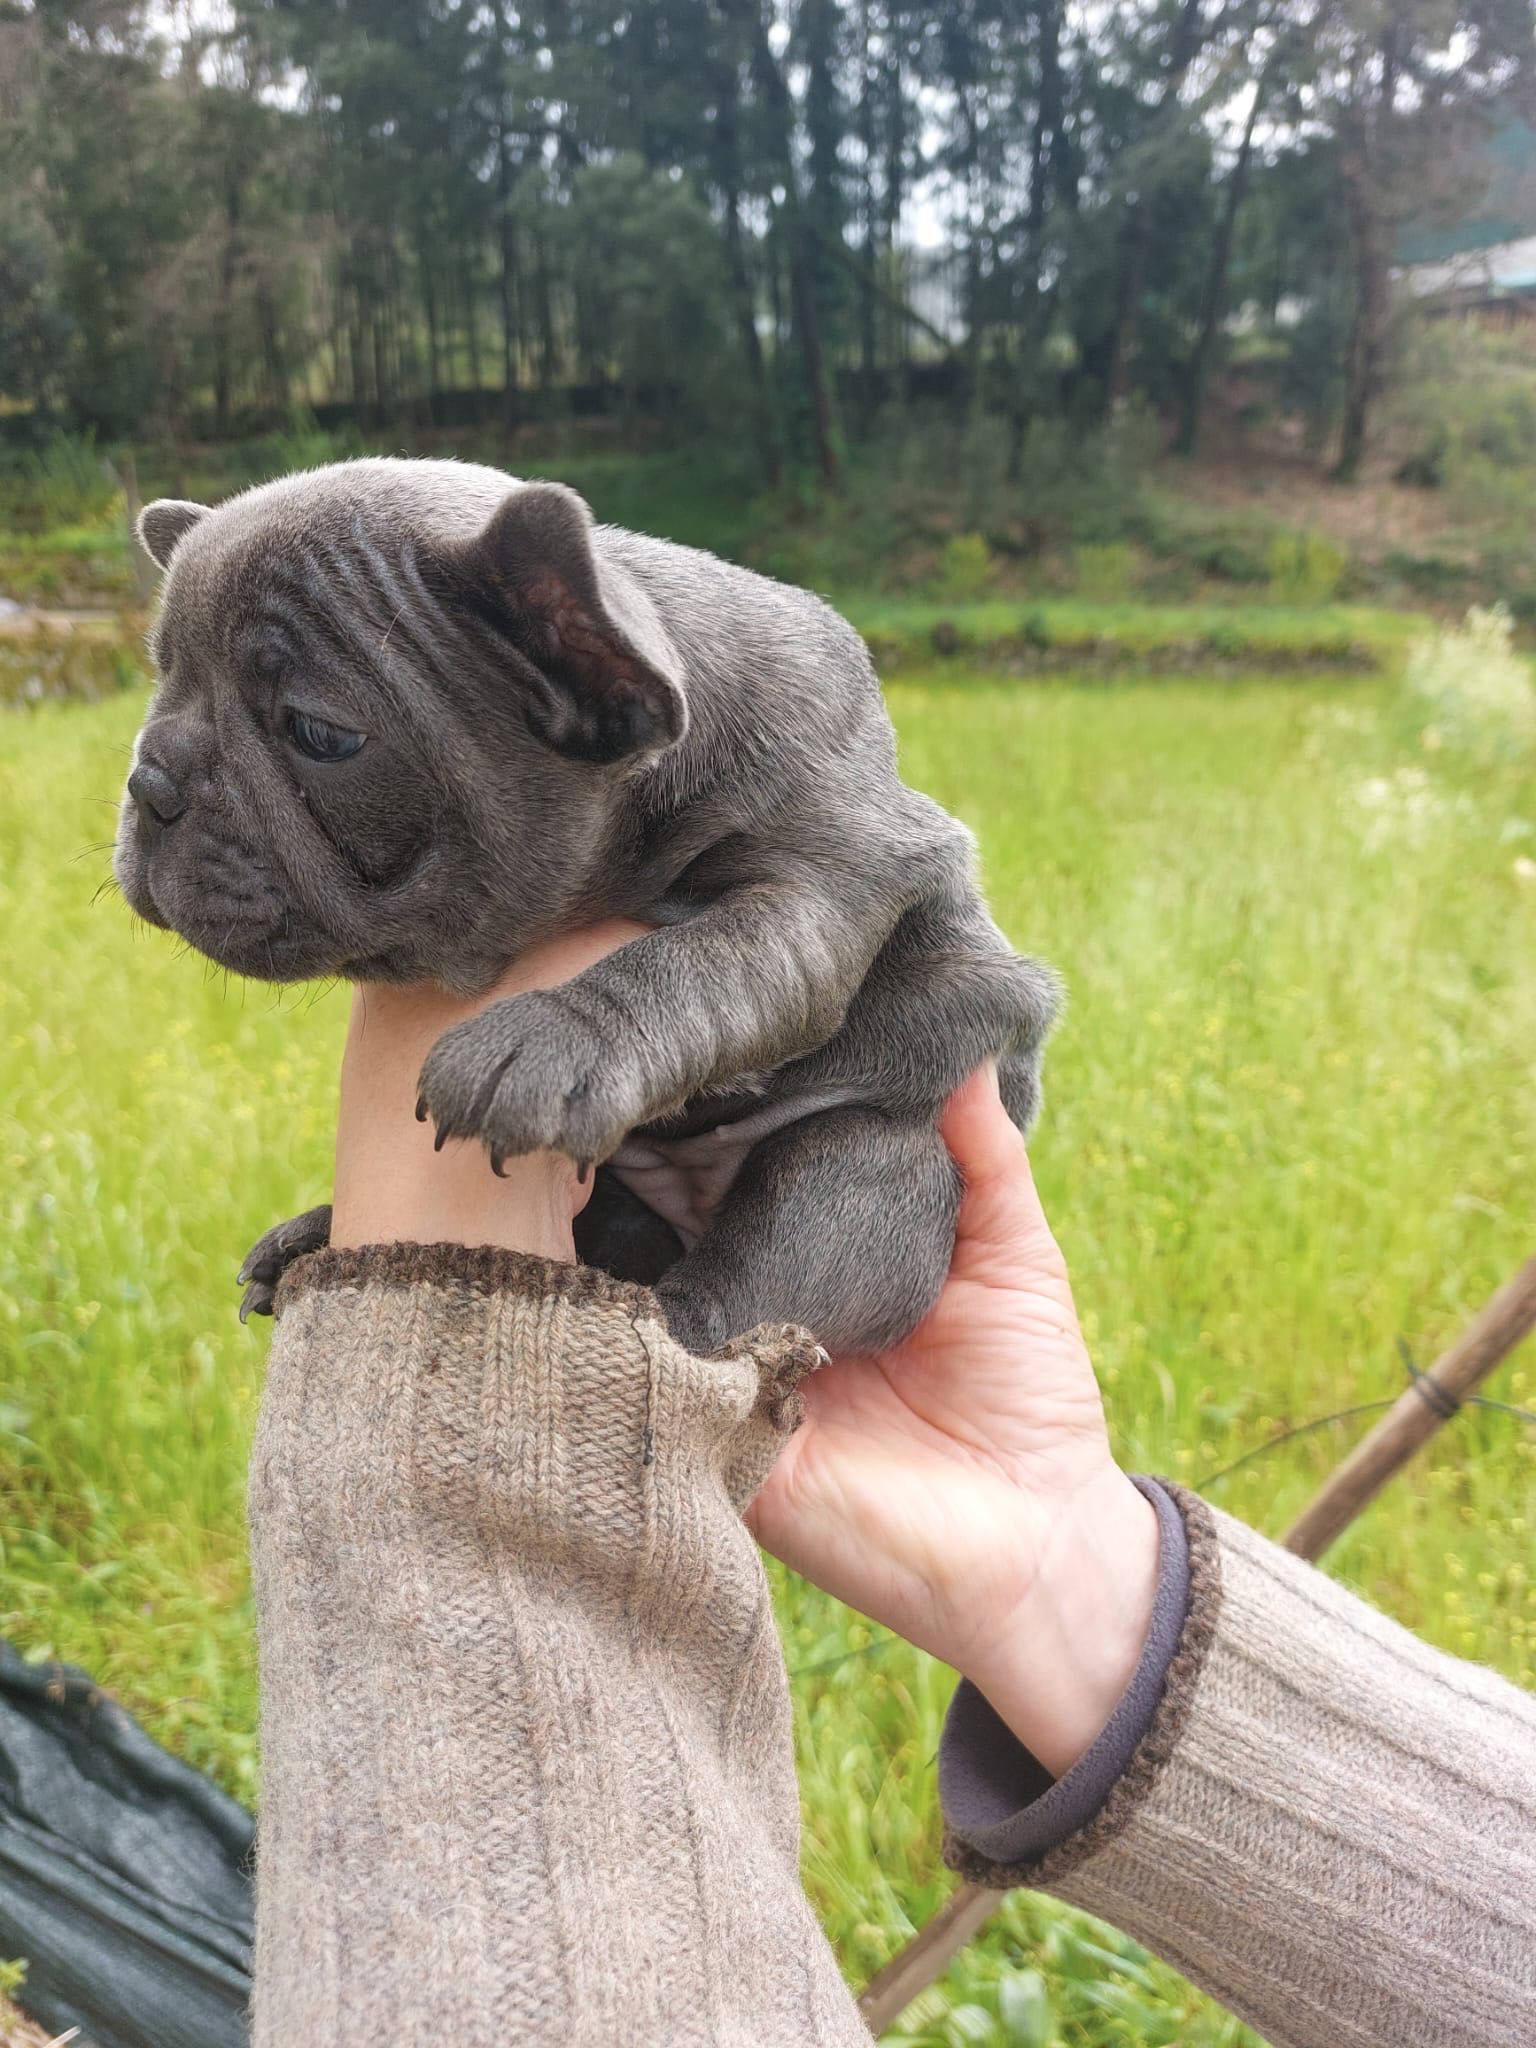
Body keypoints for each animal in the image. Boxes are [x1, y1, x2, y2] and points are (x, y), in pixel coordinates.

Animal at [114, 464, 1064, 1359]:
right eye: (162, 683)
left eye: (320, 734)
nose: (149, 780)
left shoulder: (826, 873)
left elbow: (704, 956)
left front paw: (553, 1038)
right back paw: (315, 1238)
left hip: (875, 1165)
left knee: (770, 1260)